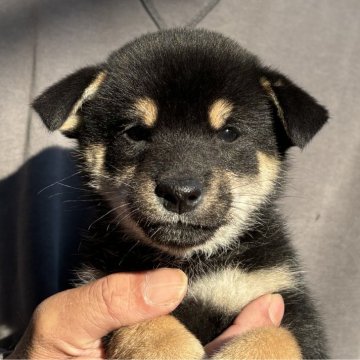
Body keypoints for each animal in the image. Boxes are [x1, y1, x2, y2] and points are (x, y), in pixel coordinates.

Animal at [33, 28, 330, 360]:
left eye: (229, 133)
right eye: (135, 132)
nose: (179, 193)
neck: (192, 266)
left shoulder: (280, 296)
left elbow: (277, 335)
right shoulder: (101, 279)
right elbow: (149, 321)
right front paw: (164, 348)